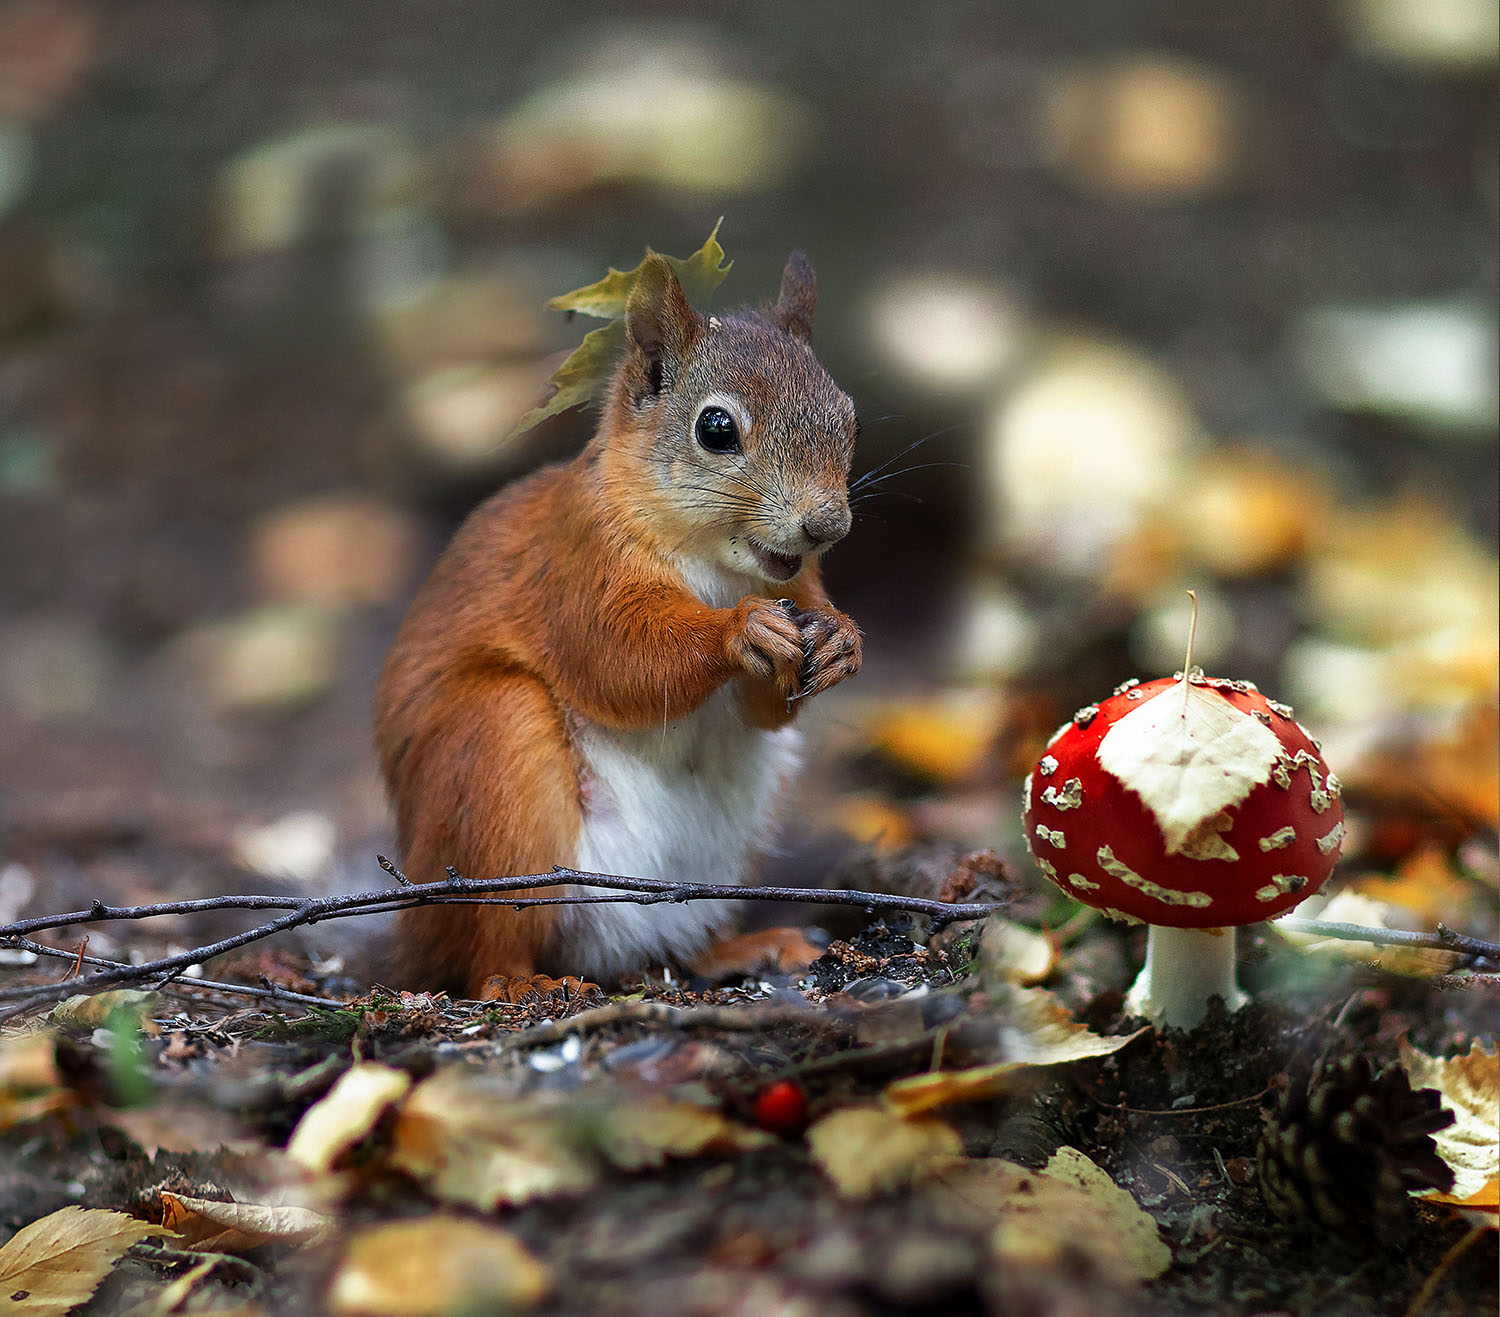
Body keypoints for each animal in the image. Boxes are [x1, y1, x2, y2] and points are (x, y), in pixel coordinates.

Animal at [375, 250, 864, 1002]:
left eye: (849, 417)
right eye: (716, 429)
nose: (827, 525)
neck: (714, 563)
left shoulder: (798, 585)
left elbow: (768, 707)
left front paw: (841, 640)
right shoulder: (579, 564)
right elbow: (619, 660)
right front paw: (741, 630)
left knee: (683, 937)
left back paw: (744, 946)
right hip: (493, 757)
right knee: (482, 944)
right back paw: (516, 982)